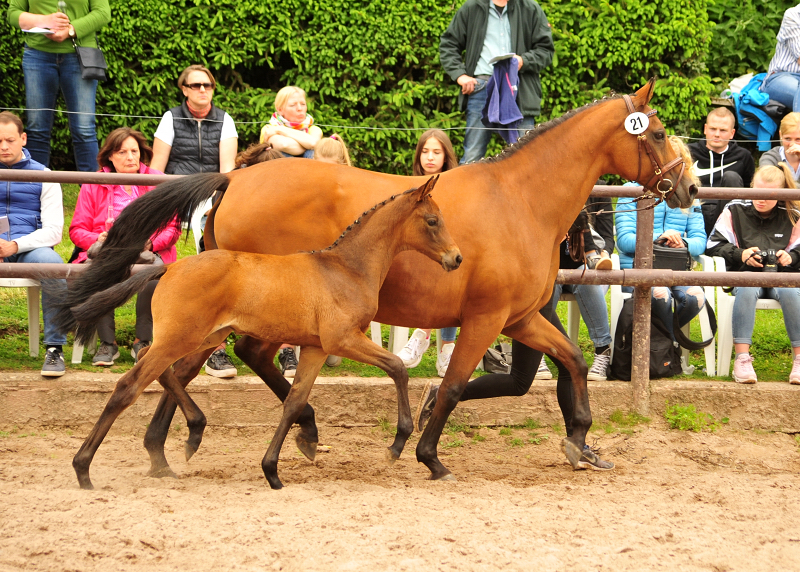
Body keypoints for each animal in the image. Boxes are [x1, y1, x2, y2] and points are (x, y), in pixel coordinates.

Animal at [69, 177, 462, 490]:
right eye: (432, 221)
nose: (456, 258)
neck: (346, 269)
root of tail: (168, 268)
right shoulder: (343, 339)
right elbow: (397, 367)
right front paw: (397, 444)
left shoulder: (317, 348)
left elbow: (294, 402)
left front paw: (275, 468)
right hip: (182, 337)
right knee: (129, 385)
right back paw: (83, 468)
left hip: (201, 337)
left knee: (163, 368)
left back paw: (187, 436)